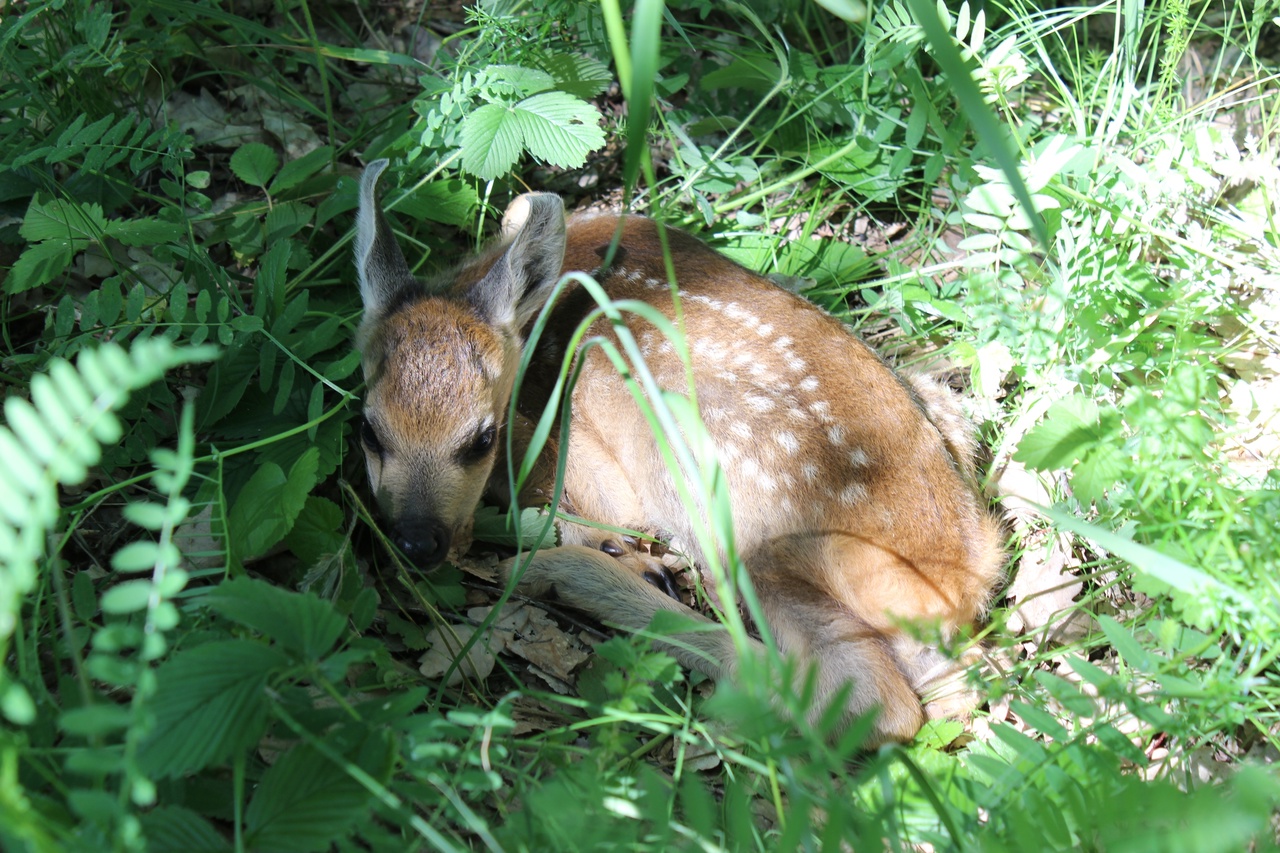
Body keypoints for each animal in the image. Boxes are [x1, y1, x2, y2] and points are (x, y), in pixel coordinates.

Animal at [355, 161, 1003, 742]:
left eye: (480, 438)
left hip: (741, 509)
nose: (418, 540)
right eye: (369, 429)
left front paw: (602, 546)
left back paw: (569, 577)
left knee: (868, 700)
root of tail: (964, 580)